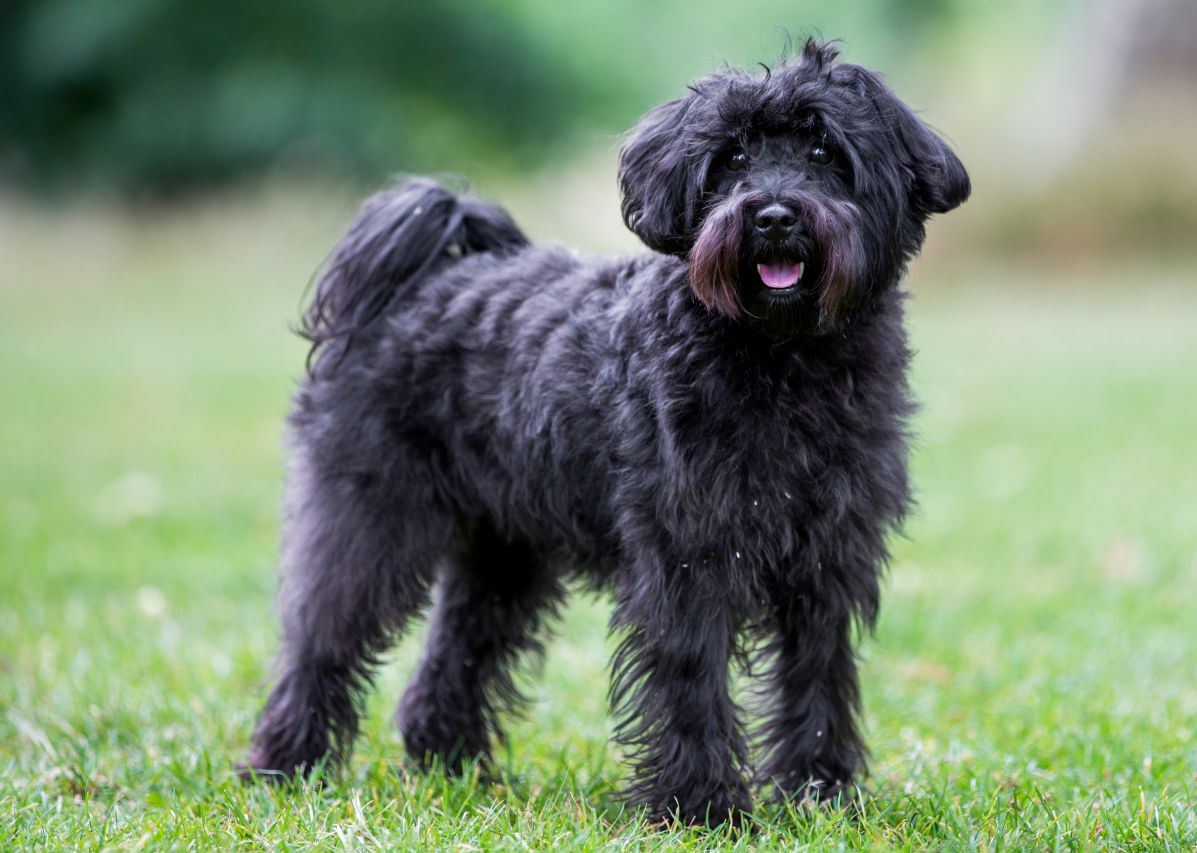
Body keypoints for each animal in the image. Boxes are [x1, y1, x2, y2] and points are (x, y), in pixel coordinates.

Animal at [245, 41, 971, 823]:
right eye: (732, 157)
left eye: (823, 150)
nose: (774, 216)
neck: (780, 355)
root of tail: (414, 285)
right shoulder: (685, 555)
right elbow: (690, 675)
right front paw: (702, 807)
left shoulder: (827, 559)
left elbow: (817, 675)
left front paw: (819, 794)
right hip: (370, 519)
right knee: (321, 640)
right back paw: (284, 764)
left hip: (504, 551)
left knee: (460, 649)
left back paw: (451, 765)